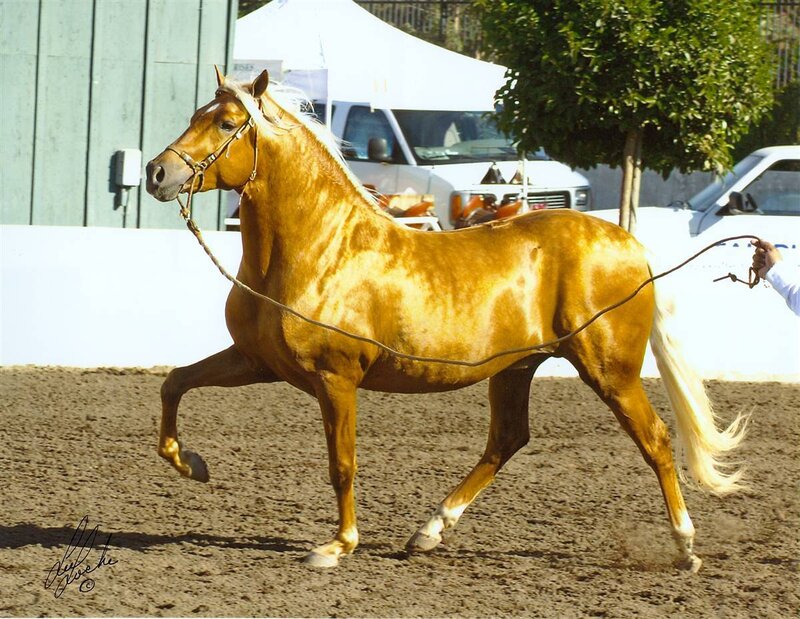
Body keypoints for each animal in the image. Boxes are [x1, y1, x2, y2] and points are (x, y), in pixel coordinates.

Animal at [145, 69, 748, 571]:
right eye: (195, 114)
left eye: (226, 122)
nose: (157, 172)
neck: (317, 249)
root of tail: (633, 247)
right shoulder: (257, 361)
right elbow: (175, 384)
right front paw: (190, 463)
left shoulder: (336, 378)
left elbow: (343, 463)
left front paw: (337, 546)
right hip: (516, 369)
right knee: (507, 440)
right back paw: (429, 532)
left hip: (610, 372)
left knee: (657, 441)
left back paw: (685, 546)